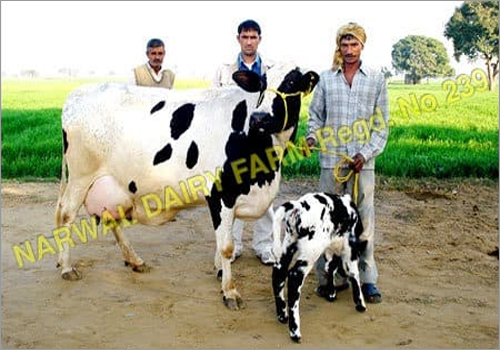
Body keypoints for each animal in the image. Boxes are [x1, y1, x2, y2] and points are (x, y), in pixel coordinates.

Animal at [54, 62, 318, 308]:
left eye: (291, 83)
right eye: (262, 83)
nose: (259, 118)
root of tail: (76, 94)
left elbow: (223, 240)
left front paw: (220, 272)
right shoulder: (221, 193)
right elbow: (226, 246)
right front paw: (230, 291)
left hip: (112, 185)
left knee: (110, 217)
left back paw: (135, 260)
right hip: (81, 176)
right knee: (65, 215)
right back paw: (67, 267)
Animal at [272, 191, 370, 342]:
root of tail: (299, 206)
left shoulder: (329, 249)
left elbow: (330, 267)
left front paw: (331, 293)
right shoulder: (351, 248)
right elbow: (354, 273)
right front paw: (360, 304)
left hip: (288, 245)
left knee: (278, 273)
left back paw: (282, 315)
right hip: (311, 252)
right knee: (294, 277)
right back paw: (295, 332)